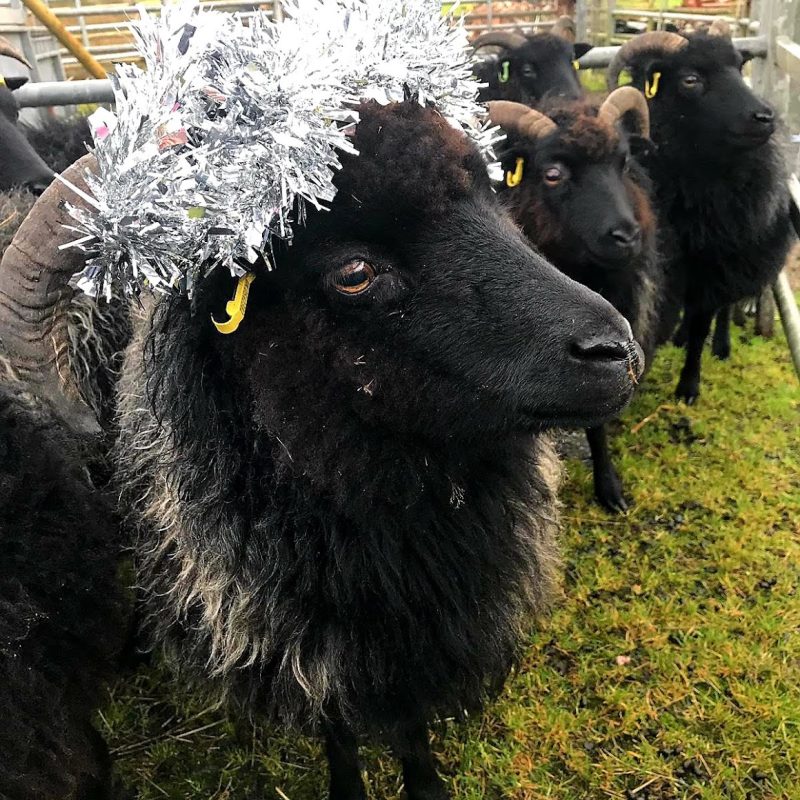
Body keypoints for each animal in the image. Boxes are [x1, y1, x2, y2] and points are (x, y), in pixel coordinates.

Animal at [12, 100, 644, 799]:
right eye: (355, 273)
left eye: (494, 199)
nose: (617, 352)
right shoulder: (306, 631)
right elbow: (338, 730)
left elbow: (411, 726)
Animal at [607, 28, 795, 402]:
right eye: (690, 79)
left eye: (739, 68)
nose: (764, 116)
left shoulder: (715, 266)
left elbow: (702, 323)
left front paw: (688, 386)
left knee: (722, 309)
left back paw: (721, 345)